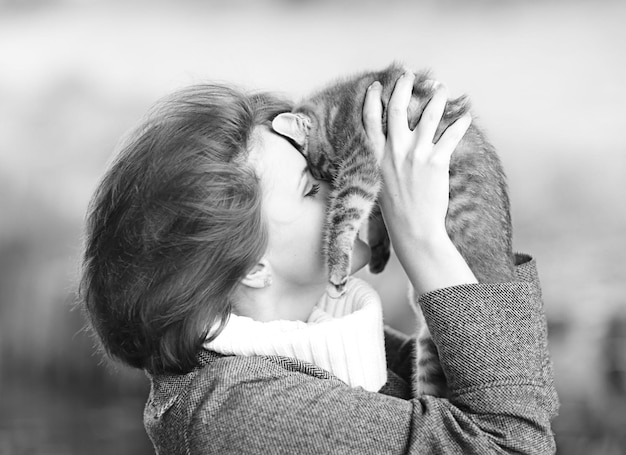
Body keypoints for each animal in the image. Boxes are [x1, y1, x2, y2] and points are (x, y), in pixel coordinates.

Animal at [272, 62, 512, 398]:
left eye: (322, 172)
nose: (327, 182)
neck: (341, 102)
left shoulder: (360, 163)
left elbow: (347, 214)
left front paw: (337, 269)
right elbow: (376, 215)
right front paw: (378, 251)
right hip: (426, 350)